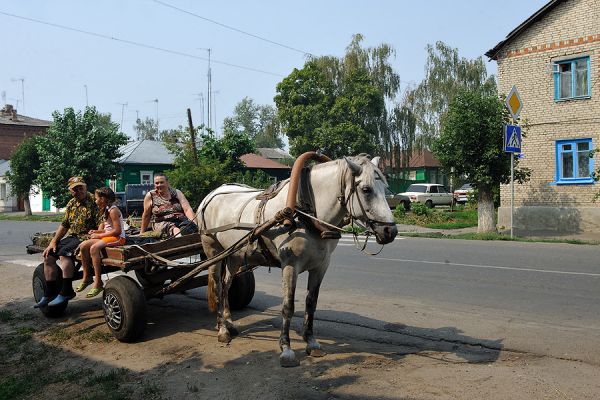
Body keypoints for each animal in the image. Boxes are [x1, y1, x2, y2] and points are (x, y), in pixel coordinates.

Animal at [197, 155, 398, 368]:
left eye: (385, 188)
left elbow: (311, 303)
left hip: (234, 255)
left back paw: (228, 322)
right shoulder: (290, 265)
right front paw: (286, 348)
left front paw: (311, 342)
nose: (390, 231)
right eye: (366, 190)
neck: (306, 212)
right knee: (218, 286)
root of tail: (210, 195)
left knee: (226, 285)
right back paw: (222, 330)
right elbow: (288, 306)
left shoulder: (321, 266)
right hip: (213, 252)